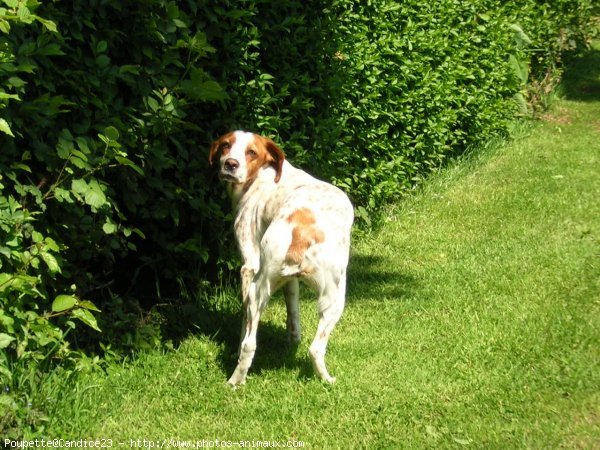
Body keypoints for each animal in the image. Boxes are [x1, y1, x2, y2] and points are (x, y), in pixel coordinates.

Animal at [210, 131, 354, 386]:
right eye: (226, 145)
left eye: (251, 152)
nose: (230, 164)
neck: (265, 174)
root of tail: (302, 231)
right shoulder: (288, 280)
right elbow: (293, 306)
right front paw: (292, 338)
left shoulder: (248, 265)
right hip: (334, 298)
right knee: (313, 348)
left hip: (260, 287)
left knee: (251, 343)